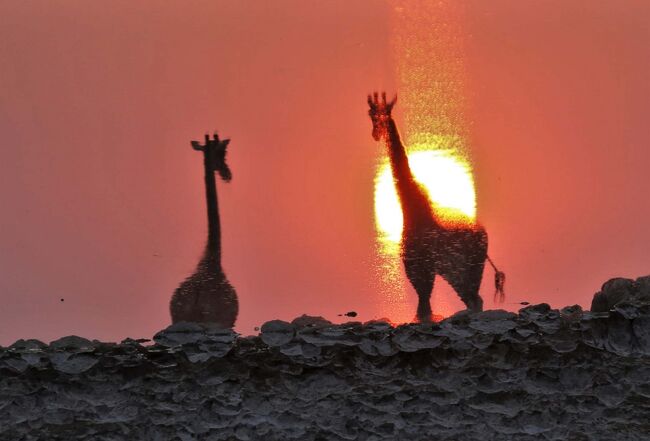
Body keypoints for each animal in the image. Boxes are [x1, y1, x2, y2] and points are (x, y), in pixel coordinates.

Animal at [368, 92, 504, 320]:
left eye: (383, 115)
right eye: (371, 115)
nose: (376, 134)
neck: (411, 209)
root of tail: (484, 237)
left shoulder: (419, 271)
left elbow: (423, 313)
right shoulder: (421, 273)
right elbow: (424, 312)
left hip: (464, 272)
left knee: (474, 301)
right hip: (461, 273)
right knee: (474, 301)